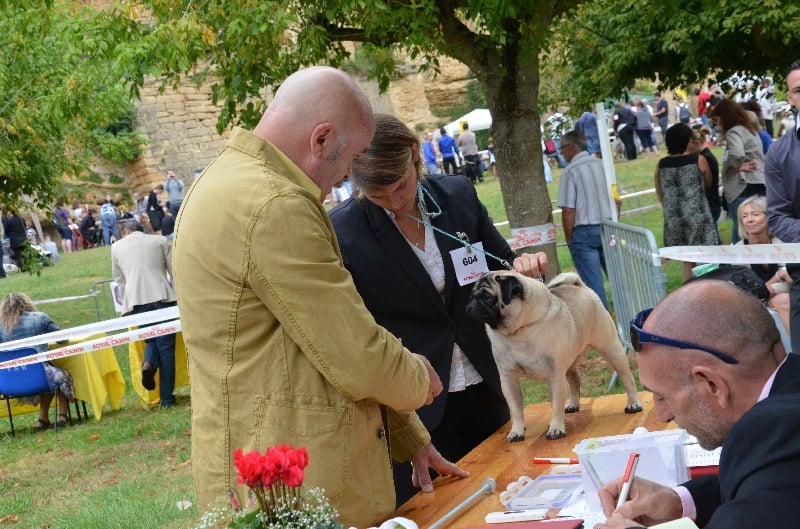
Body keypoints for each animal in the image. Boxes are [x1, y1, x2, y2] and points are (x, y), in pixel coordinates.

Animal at [466, 271, 642, 441]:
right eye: (472, 294)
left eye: (487, 296)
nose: (471, 303)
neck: (518, 331)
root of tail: (579, 285)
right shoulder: (508, 380)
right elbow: (515, 409)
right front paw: (517, 431)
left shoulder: (555, 377)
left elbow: (556, 406)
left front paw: (556, 429)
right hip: (571, 362)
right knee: (575, 380)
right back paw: (573, 404)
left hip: (611, 349)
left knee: (627, 377)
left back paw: (634, 404)